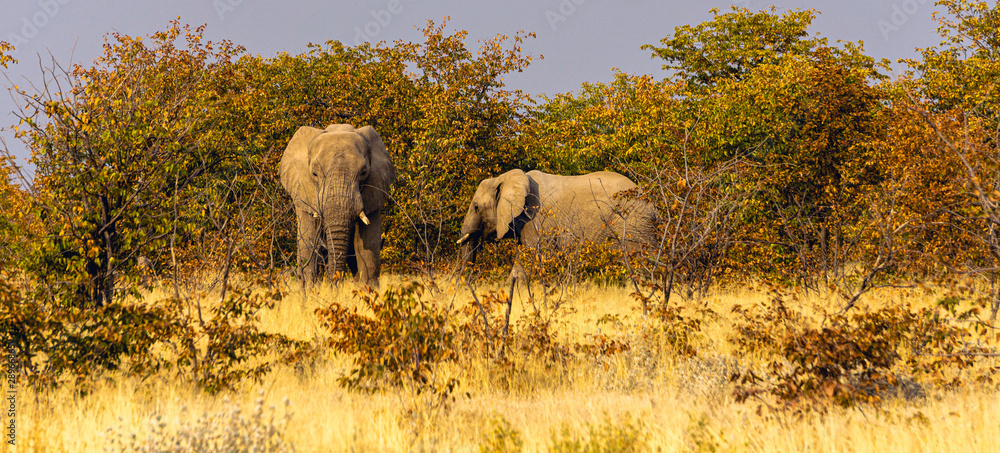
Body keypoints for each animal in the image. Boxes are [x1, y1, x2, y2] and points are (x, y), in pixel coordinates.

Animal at [279, 124, 395, 287]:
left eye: (364, 172)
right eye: (314, 174)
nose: (333, 282)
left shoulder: (375, 187)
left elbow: (367, 244)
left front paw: (369, 290)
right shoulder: (303, 190)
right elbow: (308, 239)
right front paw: (309, 289)